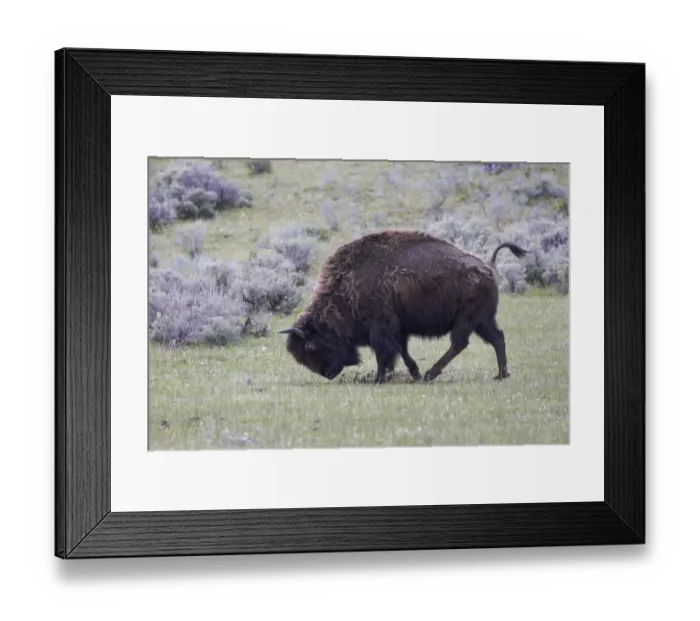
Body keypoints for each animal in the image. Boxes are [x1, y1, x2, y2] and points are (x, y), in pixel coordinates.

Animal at [279, 229, 527, 383]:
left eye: (310, 346)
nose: (328, 373)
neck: (346, 288)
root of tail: (487, 267)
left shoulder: (382, 329)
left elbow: (385, 354)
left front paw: (380, 378)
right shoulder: (398, 330)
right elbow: (402, 352)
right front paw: (412, 373)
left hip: (468, 319)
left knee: (460, 343)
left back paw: (430, 374)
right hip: (482, 320)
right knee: (496, 338)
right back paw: (500, 375)